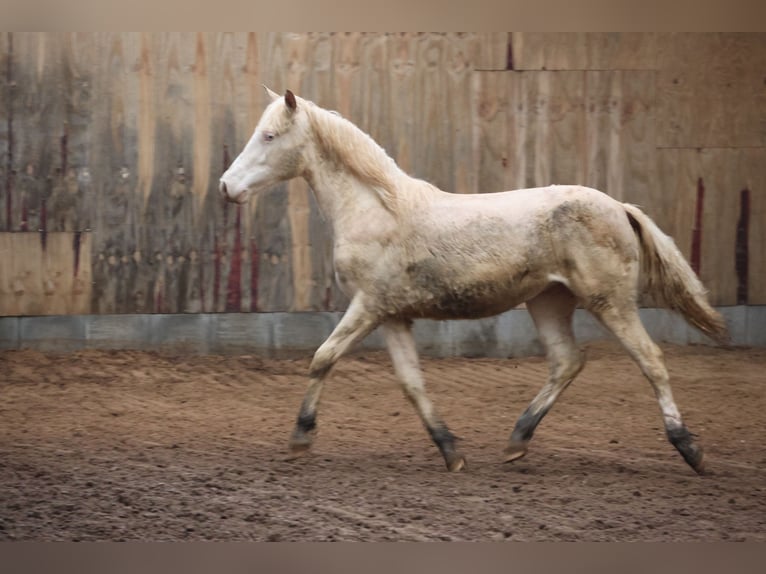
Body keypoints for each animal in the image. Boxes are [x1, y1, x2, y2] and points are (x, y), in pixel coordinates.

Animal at [219, 88, 728, 476]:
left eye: (269, 135)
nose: (227, 186)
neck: (377, 209)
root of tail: (620, 207)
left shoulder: (367, 306)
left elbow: (322, 358)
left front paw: (300, 438)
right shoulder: (392, 316)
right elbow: (411, 383)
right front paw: (451, 452)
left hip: (610, 301)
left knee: (651, 360)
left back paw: (691, 450)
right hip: (549, 301)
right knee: (566, 362)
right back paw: (516, 441)